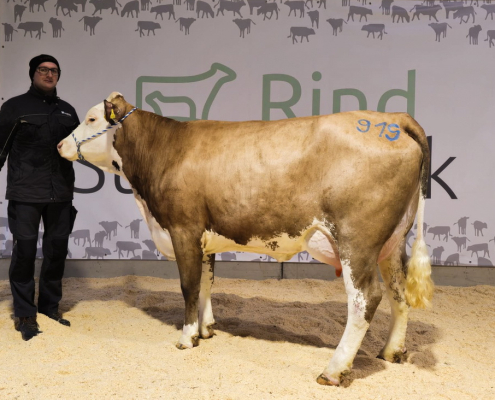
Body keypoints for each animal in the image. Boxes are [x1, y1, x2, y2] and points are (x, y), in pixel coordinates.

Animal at [59, 91, 434, 388]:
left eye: (91, 118)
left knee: (364, 299)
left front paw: (186, 337)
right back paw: (391, 351)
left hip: (357, 241)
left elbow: (188, 286)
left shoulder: (183, 228)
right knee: (398, 292)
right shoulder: (204, 236)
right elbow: (207, 282)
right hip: (392, 242)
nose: (60, 145)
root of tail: (392, 118)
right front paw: (207, 329)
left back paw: (333, 370)